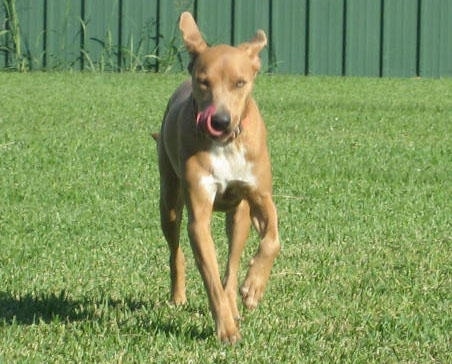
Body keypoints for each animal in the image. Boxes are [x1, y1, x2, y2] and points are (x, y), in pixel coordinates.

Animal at [155, 12, 280, 342]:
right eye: (204, 82)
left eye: (240, 83)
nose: (220, 121)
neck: (225, 145)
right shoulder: (198, 215)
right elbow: (209, 275)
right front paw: (226, 329)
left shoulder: (259, 193)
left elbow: (273, 238)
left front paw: (253, 288)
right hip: (169, 200)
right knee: (176, 248)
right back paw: (179, 297)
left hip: (239, 216)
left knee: (232, 263)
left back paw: (237, 296)